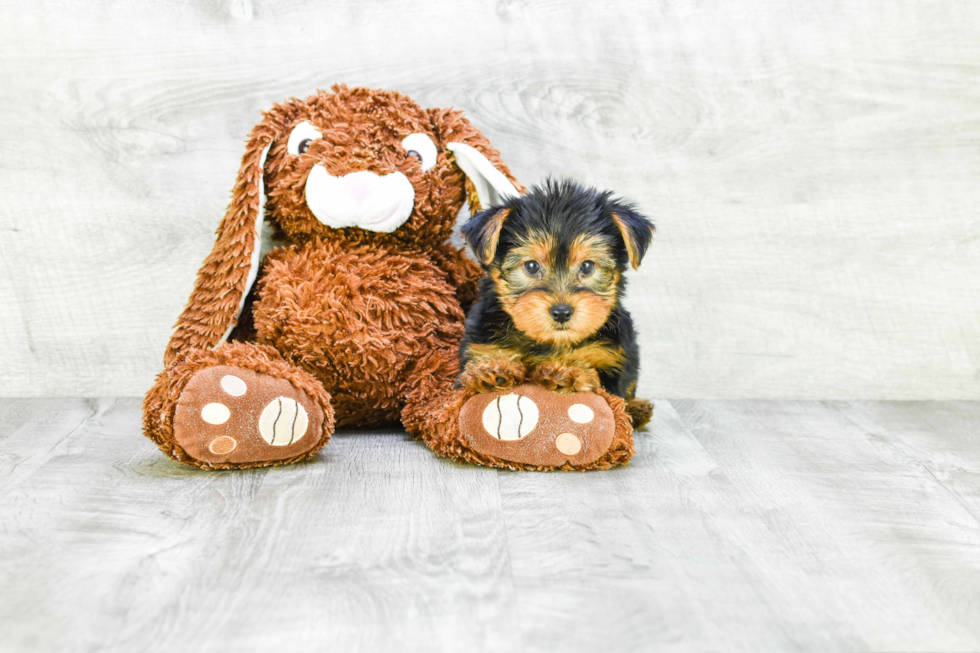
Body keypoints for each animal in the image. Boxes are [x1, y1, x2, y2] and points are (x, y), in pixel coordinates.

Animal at [460, 178, 660, 428]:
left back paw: (637, 409)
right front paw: (489, 369)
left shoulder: (609, 357)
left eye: (587, 266)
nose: (562, 312)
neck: (550, 342)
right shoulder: (481, 343)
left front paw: (566, 373)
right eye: (532, 266)